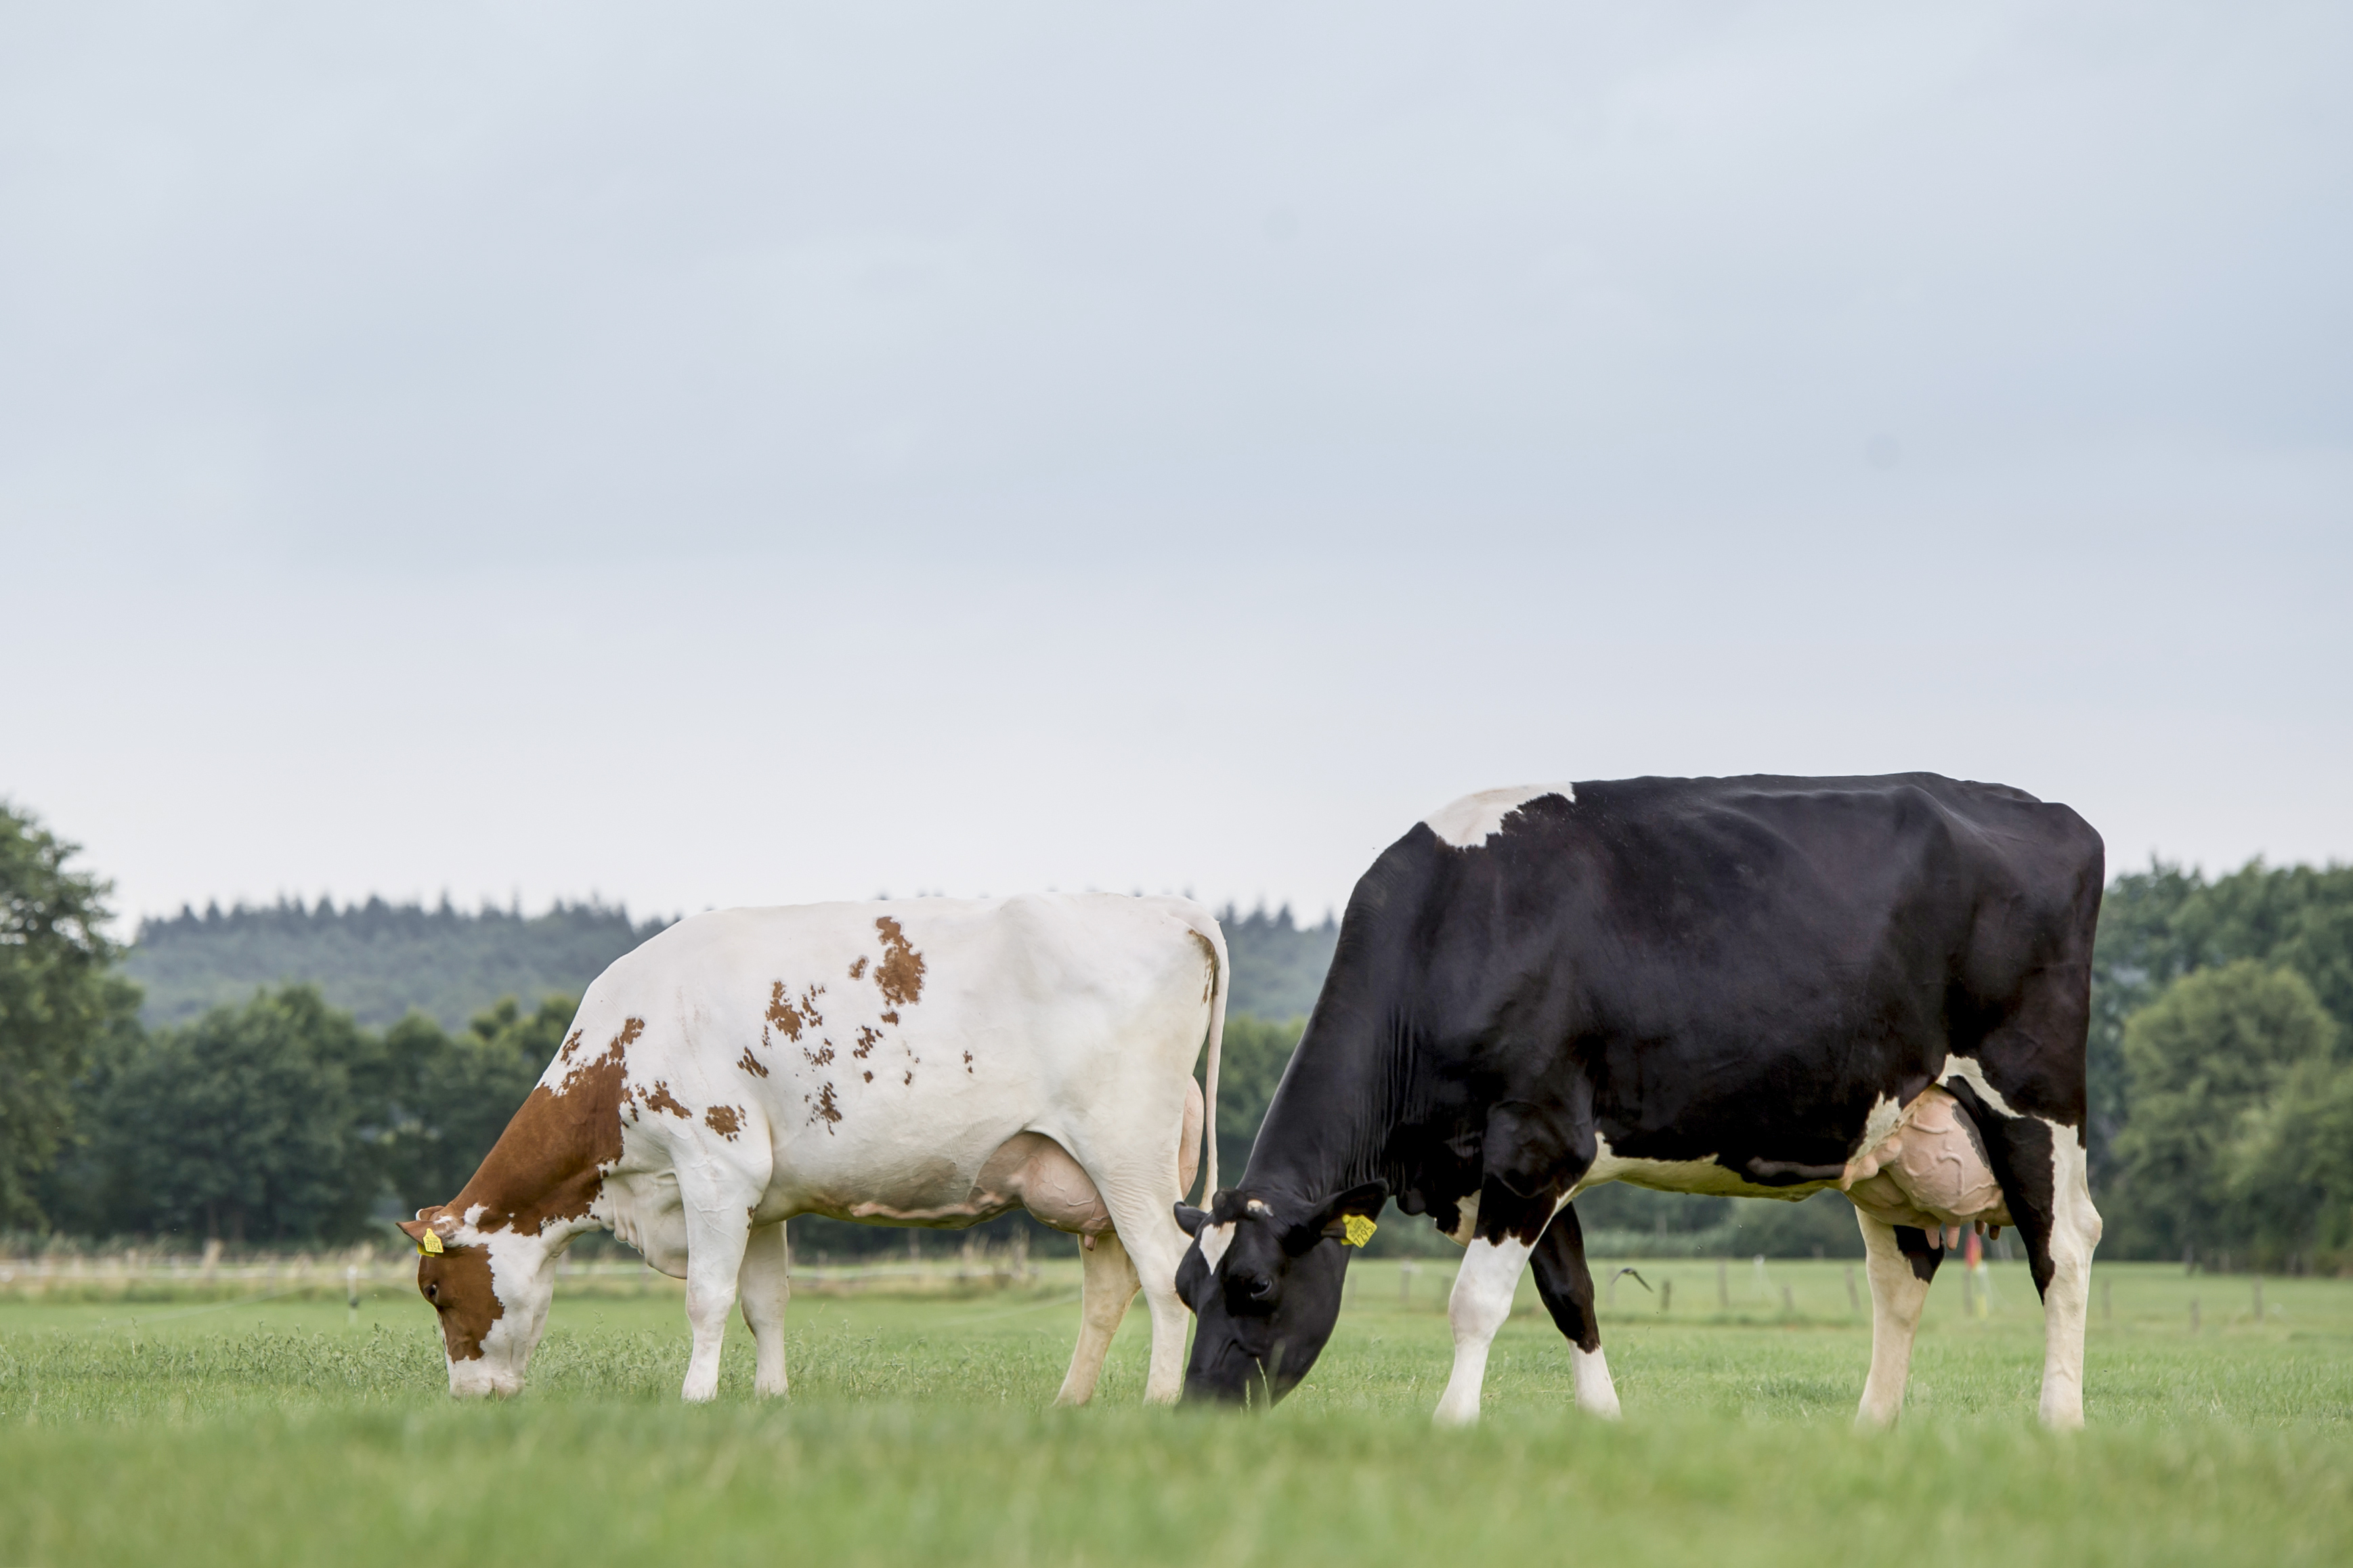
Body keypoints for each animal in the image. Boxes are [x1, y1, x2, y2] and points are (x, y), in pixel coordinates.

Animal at [395, 890, 1224, 1403]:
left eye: (434, 1291)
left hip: (1126, 1154)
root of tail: (1168, 906)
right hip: (1089, 1178)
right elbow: (766, 1303)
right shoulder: (761, 1197)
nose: (466, 1397)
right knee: (1109, 1288)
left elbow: (707, 1297)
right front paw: (771, 1397)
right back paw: (1068, 1403)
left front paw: (695, 1397)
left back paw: (1159, 1402)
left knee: (1163, 1273)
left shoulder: (716, 1168)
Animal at [1176, 777, 2117, 1422]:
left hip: (2031, 1102)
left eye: (1257, 1286)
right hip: (1895, 1140)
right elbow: (1572, 1296)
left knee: (2063, 1249)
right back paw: (1871, 1428)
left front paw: (1451, 1423)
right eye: (1186, 1289)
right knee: (1900, 1279)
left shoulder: (1535, 1144)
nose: (1194, 1416)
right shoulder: (1521, 1166)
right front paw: (1605, 1423)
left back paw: (2058, 1421)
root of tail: (2049, 812)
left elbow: (1475, 1303)